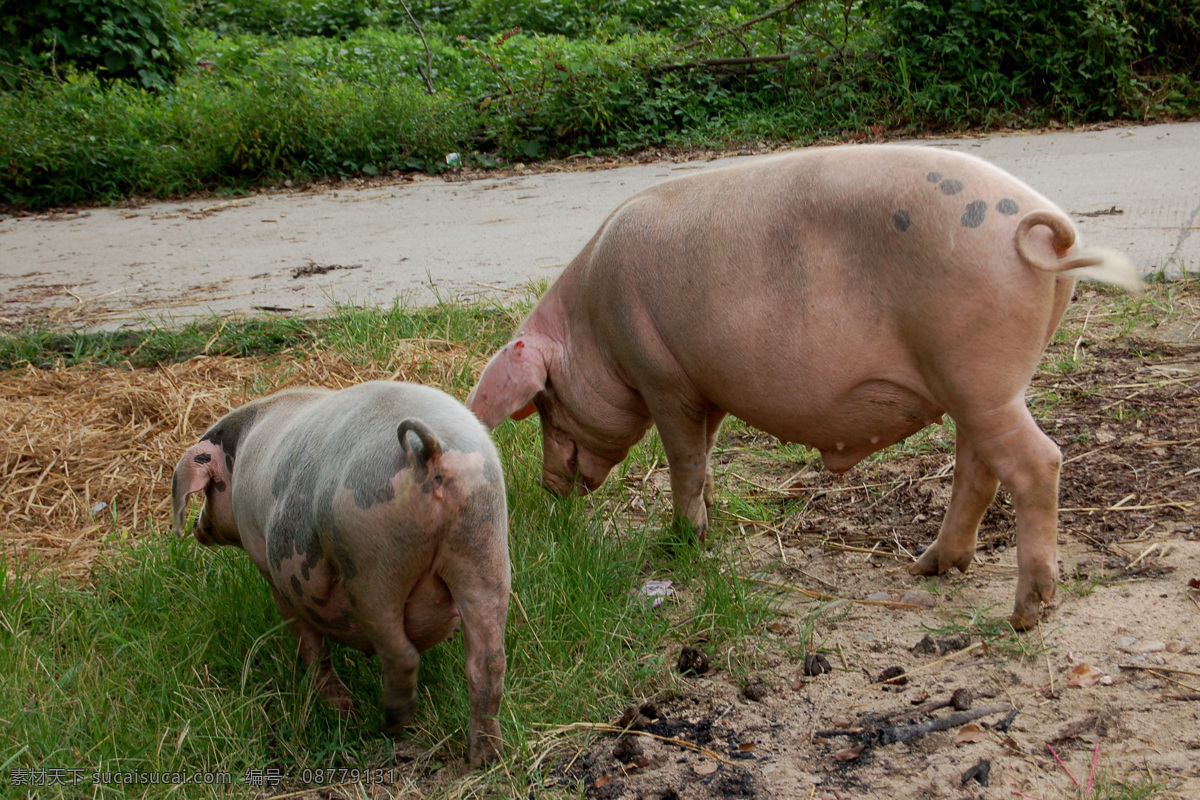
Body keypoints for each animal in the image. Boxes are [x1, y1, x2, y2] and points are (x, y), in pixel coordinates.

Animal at [171, 383, 508, 767]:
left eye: (208, 491)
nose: (196, 528)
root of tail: (430, 449)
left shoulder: (267, 564)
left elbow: (307, 639)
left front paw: (336, 706)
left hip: (369, 560)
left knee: (402, 654)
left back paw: (387, 723)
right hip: (484, 539)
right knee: (488, 662)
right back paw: (484, 757)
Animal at [463, 143, 1137, 633]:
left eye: (544, 403)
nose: (548, 487)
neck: (597, 329)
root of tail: (1047, 225)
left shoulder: (663, 376)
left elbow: (682, 457)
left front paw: (682, 540)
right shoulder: (704, 385)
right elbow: (705, 453)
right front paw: (712, 516)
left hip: (979, 372)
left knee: (1038, 461)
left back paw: (1026, 615)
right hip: (978, 385)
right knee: (979, 468)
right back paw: (929, 567)